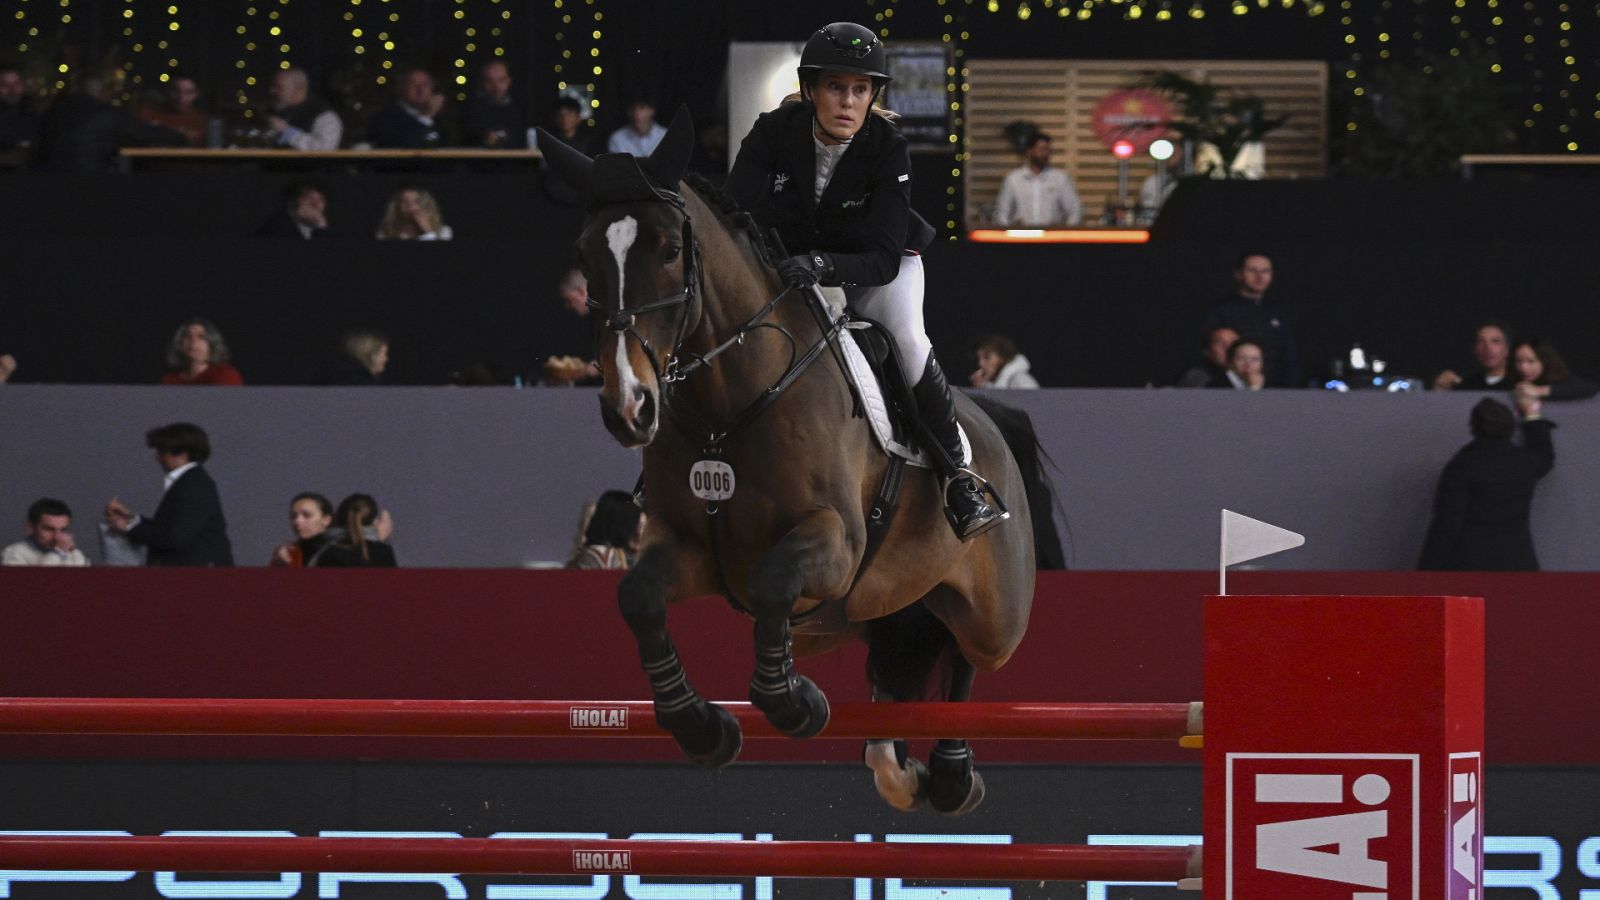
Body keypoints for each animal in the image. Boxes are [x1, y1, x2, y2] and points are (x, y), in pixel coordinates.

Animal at [539, 110, 1054, 815]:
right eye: (584, 255)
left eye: (670, 250)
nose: (630, 407)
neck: (729, 401)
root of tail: (992, 421)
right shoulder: (688, 545)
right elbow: (639, 595)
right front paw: (701, 727)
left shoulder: (835, 542)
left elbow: (773, 583)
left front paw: (795, 704)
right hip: (864, 613)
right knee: (896, 670)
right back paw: (900, 770)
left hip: (992, 611)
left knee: (968, 653)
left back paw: (951, 775)